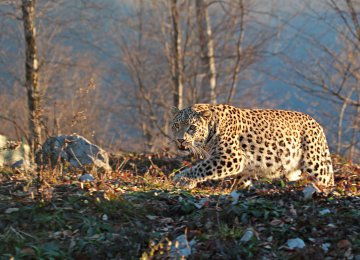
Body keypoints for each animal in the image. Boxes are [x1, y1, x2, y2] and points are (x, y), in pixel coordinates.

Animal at [172, 103, 334, 189]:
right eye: (176, 125)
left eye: (192, 128)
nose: (179, 140)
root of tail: (317, 125)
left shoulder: (230, 157)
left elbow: (201, 167)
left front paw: (182, 179)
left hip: (315, 163)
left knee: (325, 179)